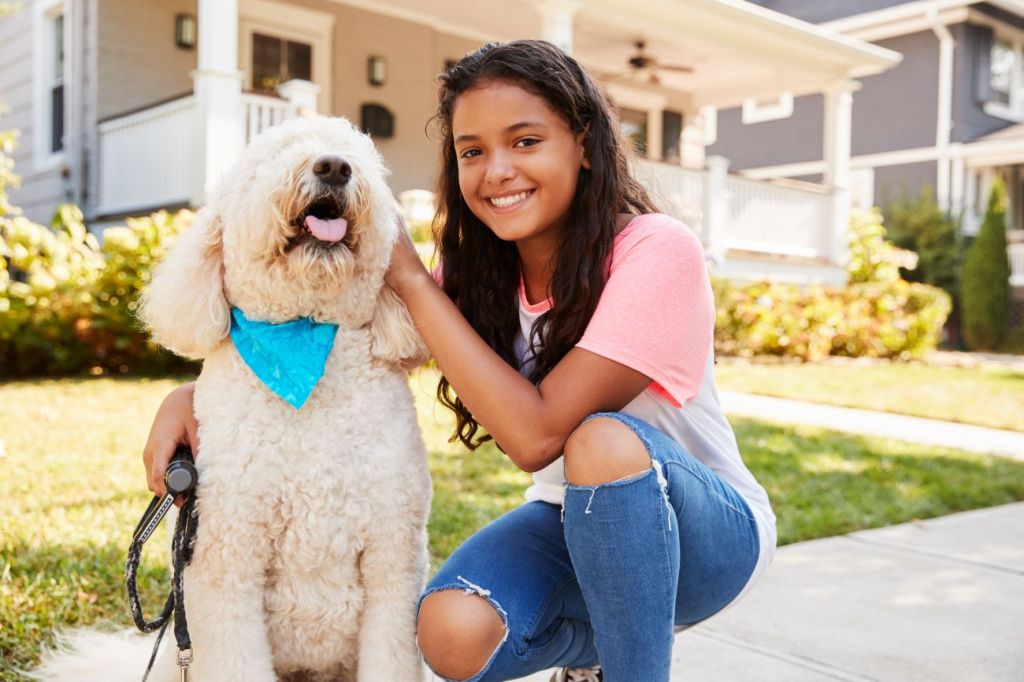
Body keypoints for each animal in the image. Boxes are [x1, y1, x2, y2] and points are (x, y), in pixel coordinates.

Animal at [32, 116, 432, 679]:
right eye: (275, 154)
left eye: (362, 158)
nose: (333, 166)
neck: (304, 343)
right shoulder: (227, 564)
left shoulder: (393, 564)